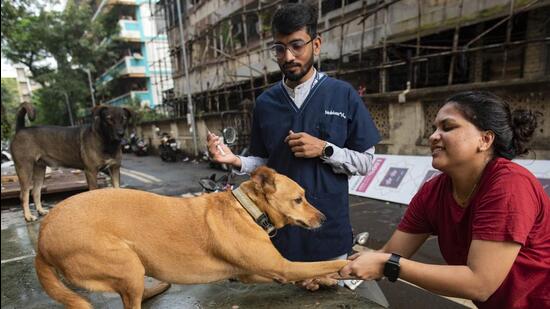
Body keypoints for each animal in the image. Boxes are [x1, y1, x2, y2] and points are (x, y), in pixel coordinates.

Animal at [35, 166, 350, 308]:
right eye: (299, 199)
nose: (324, 219)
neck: (247, 209)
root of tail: (41, 240)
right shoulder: (281, 267)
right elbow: (322, 263)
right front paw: (345, 267)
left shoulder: (254, 272)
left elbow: (313, 270)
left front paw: (323, 281)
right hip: (126, 264)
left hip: (131, 271)